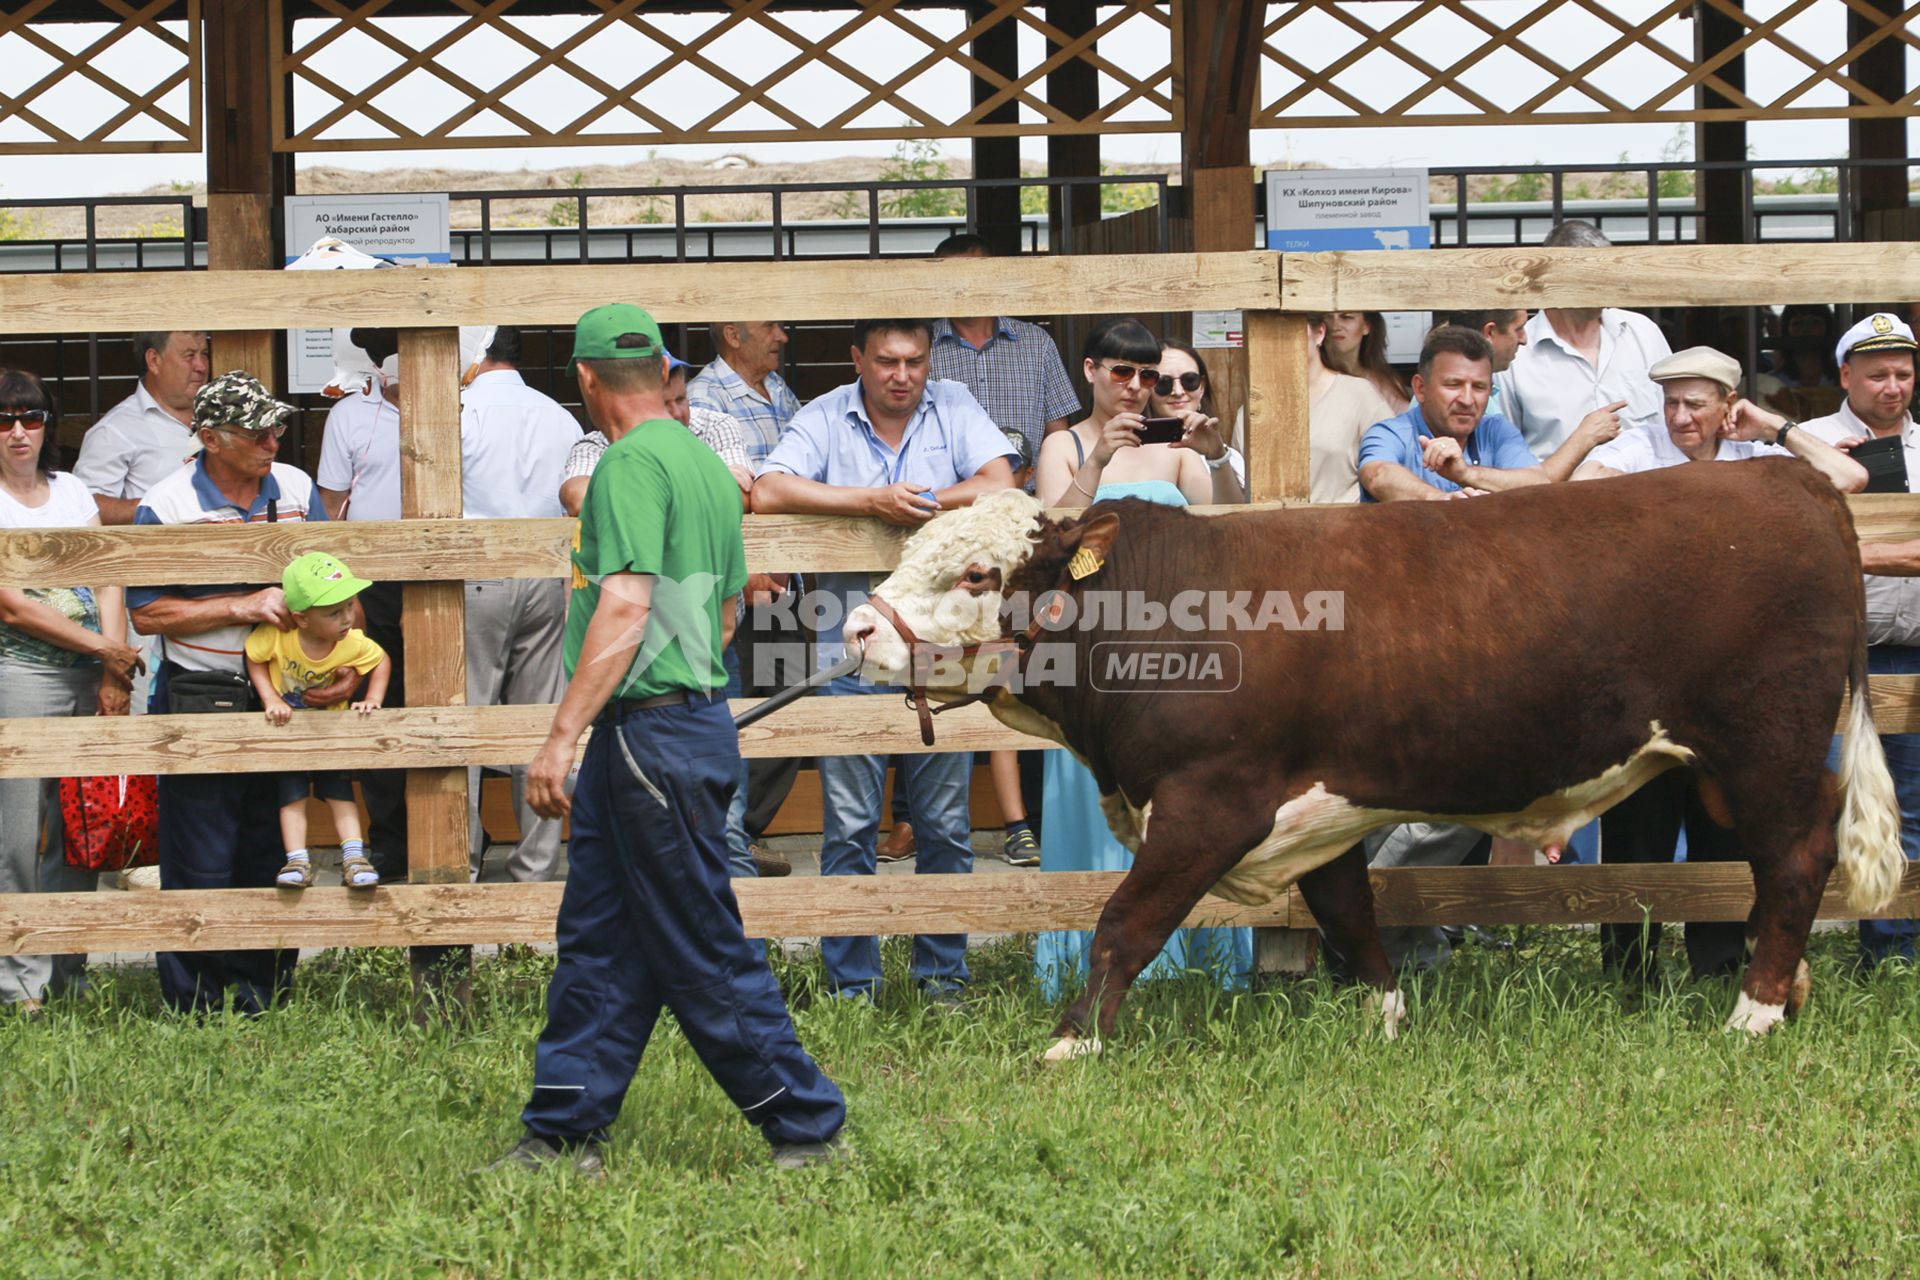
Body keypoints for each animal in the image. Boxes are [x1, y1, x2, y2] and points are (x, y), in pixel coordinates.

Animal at [844, 466, 1904, 1059]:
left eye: (977, 573)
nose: (858, 627)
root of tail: (1789, 477)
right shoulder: (1321, 807)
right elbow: (1349, 915)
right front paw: (1384, 1022)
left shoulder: (1209, 803)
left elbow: (1125, 925)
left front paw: (1071, 1045)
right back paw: (1787, 994)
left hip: (1765, 745)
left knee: (1796, 863)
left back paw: (1755, 1014)